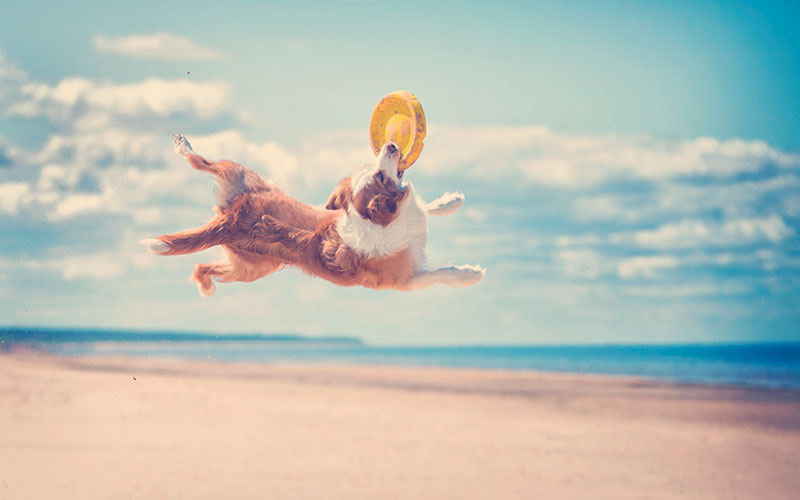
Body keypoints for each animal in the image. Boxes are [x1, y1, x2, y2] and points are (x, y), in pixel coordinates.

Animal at [141, 134, 484, 296]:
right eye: (378, 176)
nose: (388, 144)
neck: (382, 221)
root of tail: (233, 216)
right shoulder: (402, 281)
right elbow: (439, 274)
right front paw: (469, 274)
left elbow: (425, 208)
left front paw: (451, 201)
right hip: (252, 268)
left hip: (244, 191)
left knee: (204, 166)